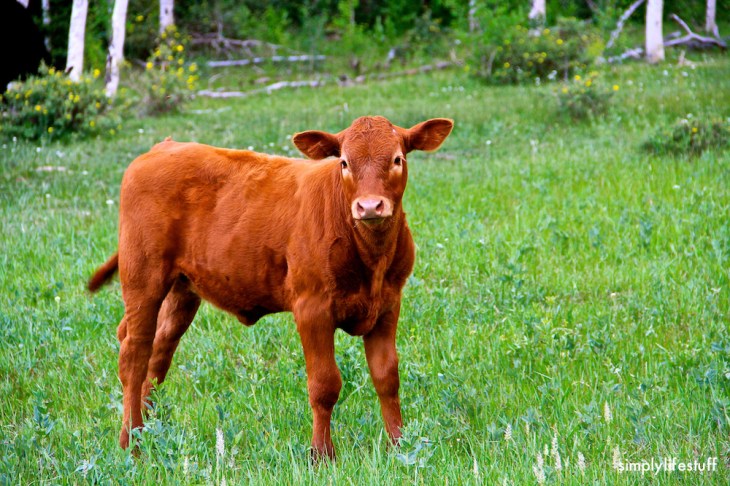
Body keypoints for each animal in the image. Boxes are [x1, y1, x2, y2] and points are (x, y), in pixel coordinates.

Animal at [88, 115, 454, 459]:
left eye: (397, 159)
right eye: (344, 162)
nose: (369, 206)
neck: (371, 259)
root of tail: (162, 147)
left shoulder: (388, 304)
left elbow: (387, 377)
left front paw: (399, 446)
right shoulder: (312, 306)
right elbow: (325, 384)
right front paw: (322, 455)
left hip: (182, 289)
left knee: (159, 351)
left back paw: (149, 429)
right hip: (143, 278)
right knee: (134, 354)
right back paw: (130, 444)